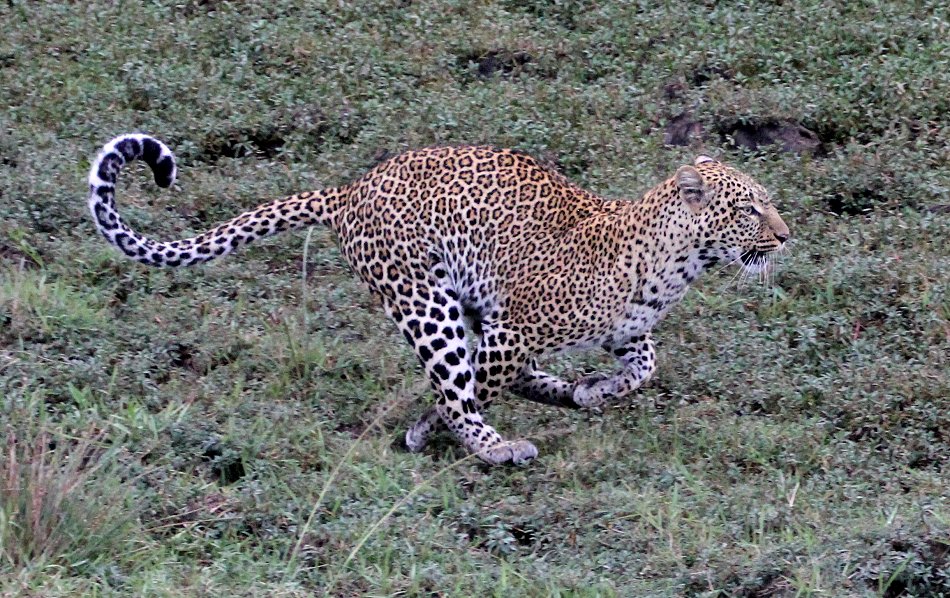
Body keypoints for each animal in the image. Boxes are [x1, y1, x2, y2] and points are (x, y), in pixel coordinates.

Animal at [87, 134, 788, 466]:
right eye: (750, 209)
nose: (787, 235)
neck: (677, 265)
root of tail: (350, 190)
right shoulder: (514, 329)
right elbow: (469, 388)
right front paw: (431, 429)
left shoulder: (623, 333)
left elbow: (645, 365)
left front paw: (597, 389)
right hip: (427, 301)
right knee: (462, 375)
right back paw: (495, 446)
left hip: (463, 298)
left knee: (501, 375)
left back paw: (563, 391)